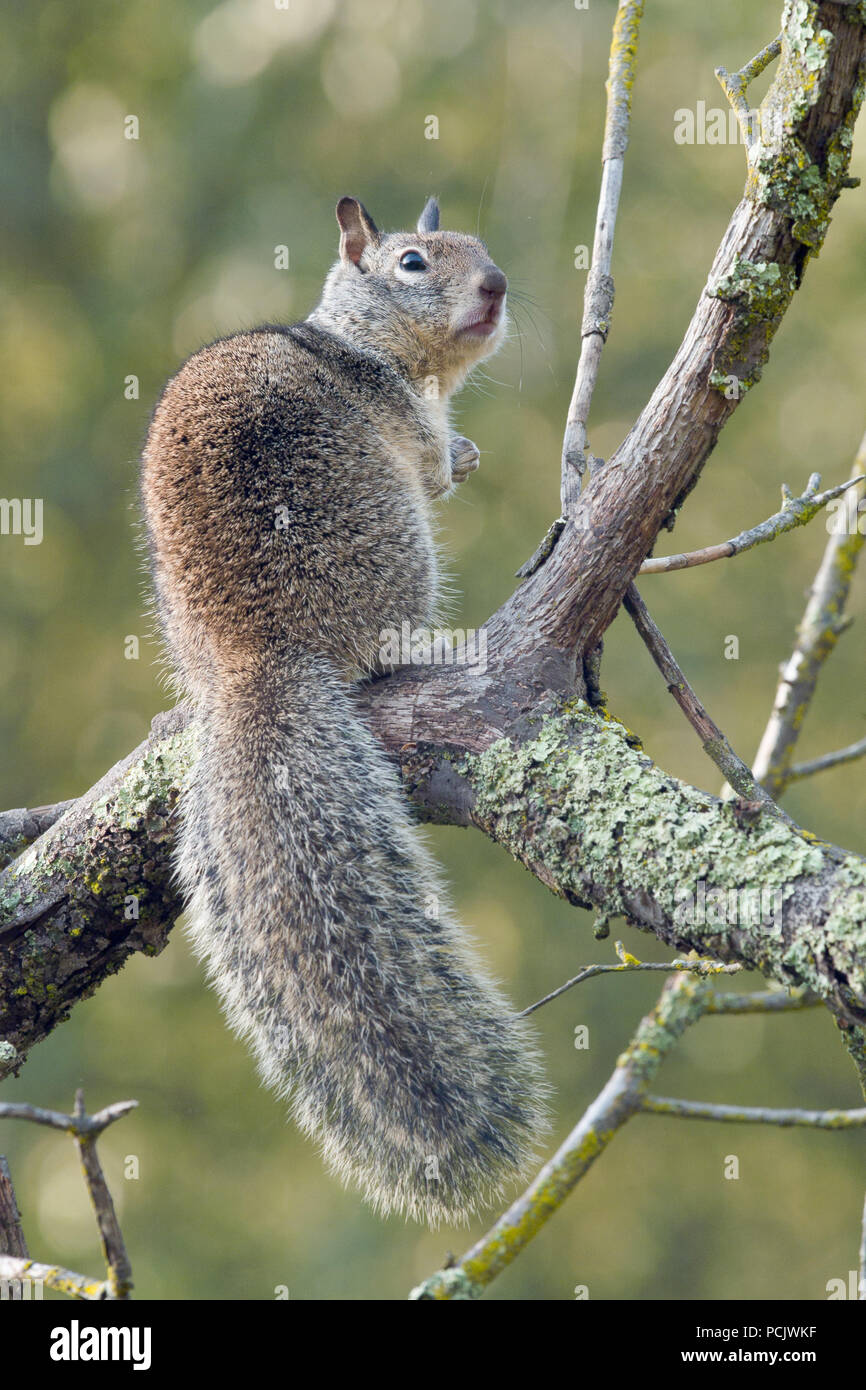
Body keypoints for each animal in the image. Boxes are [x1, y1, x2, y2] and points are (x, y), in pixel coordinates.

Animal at [141, 198, 547, 1228]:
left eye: (483, 250)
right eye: (412, 262)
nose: (497, 287)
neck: (363, 343)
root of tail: (259, 656)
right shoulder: (406, 420)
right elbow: (438, 464)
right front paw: (463, 454)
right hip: (398, 546)